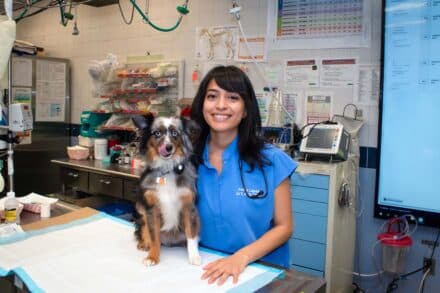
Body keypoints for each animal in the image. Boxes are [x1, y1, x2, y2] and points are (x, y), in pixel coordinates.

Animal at [132, 114, 201, 264]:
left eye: (175, 133)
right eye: (157, 133)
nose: (168, 147)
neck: (167, 169)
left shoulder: (188, 207)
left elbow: (191, 235)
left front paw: (194, 256)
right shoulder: (151, 208)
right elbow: (154, 237)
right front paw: (152, 257)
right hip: (140, 208)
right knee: (143, 228)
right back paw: (144, 243)